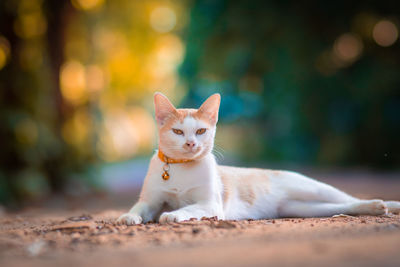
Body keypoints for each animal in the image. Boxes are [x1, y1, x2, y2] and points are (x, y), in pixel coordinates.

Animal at [117, 93, 400, 225]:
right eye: (178, 132)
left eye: (200, 131)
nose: (191, 144)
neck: (180, 168)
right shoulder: (151, 200)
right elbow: (140, 208)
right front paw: (128, 217)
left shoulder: (210, 204)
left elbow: (188, 208)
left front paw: (174, 215)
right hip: (302, 208)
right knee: (341, 206)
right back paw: (372, 208)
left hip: (314, 188)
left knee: (347, 197)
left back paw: (383, 205)